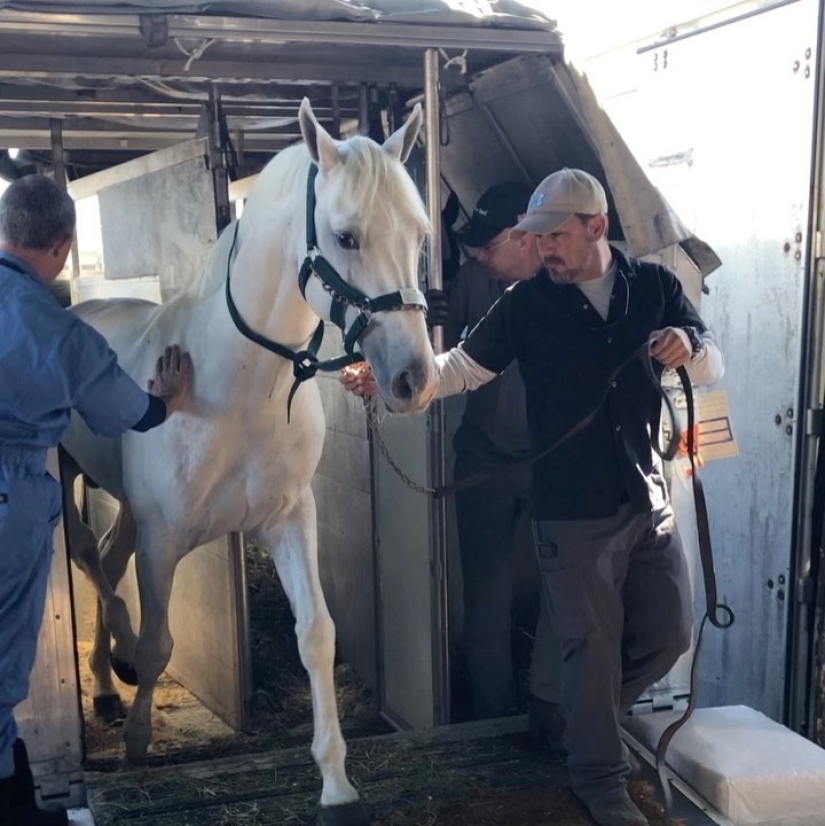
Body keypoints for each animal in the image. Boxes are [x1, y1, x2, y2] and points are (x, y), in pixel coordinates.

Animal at [60, 97, 438, 824]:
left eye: (419, 234)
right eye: (346, 237)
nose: (413, 380)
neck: (231, 392)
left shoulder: (289, 519)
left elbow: (316, 634)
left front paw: (335, 777)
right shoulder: (164, 539)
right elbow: (159, 644)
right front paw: (139, 749)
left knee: (107, 560)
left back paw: (105, 686)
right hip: (70, 480)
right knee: (91, 557)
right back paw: (116, 670)